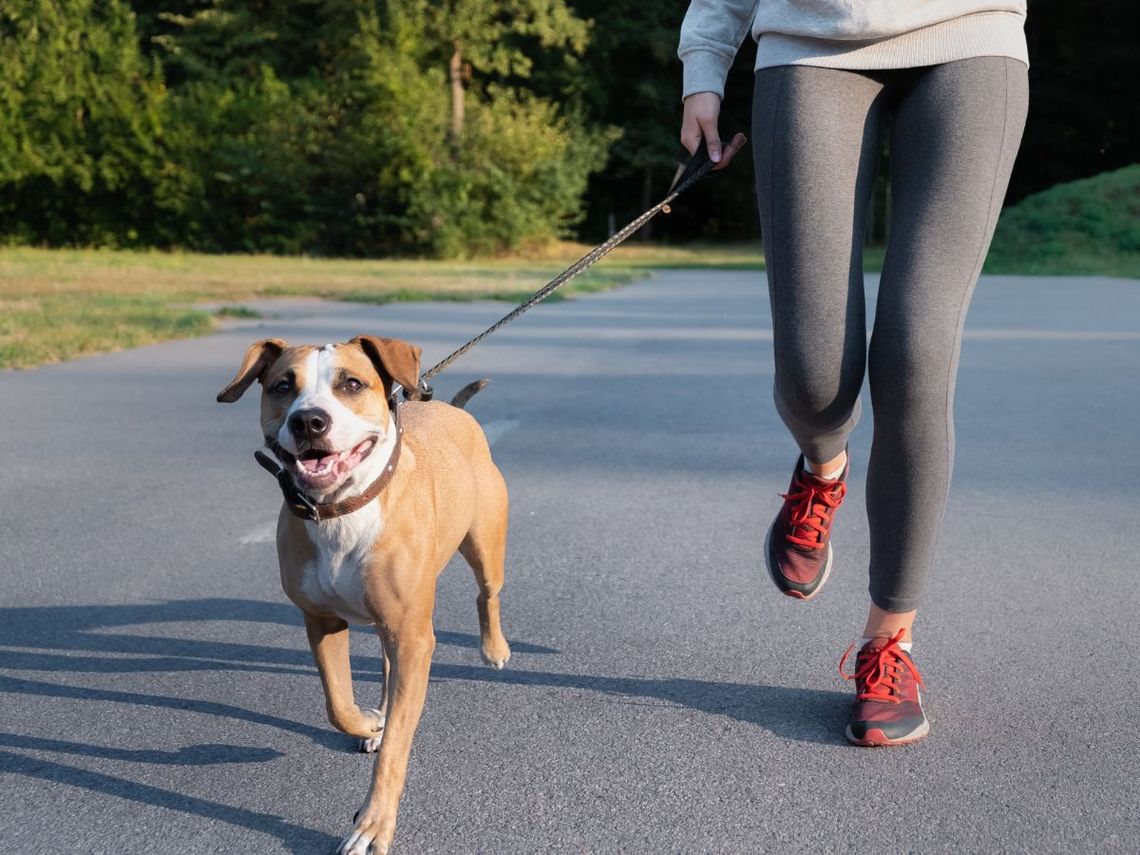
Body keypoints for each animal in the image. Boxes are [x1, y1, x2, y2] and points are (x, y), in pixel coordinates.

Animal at [217, 337, 513, 855]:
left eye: (351, 383)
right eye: (282, 386)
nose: (309, 421)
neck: (341, 510)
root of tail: (452, 411)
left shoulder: (414, 637)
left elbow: (396, 745)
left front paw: (374, 825)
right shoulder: (322, 623)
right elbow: (338, 705)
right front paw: (370, 723)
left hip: (484, 545)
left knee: (487, 594)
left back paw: (494, 649)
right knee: (388, 668)